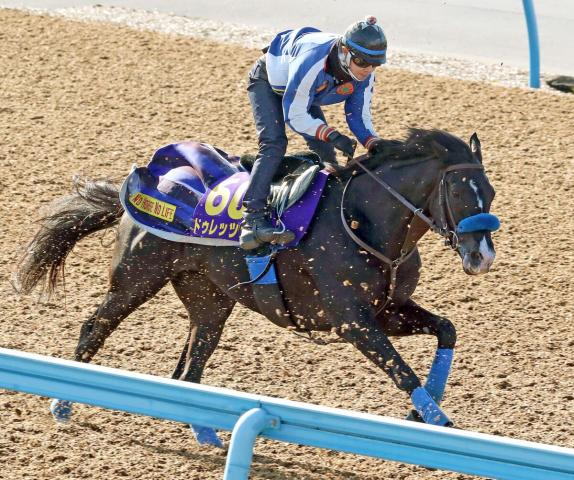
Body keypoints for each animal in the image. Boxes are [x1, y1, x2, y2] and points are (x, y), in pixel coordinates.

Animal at [14, 128, 500, 446]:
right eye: (461, 194)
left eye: (491, 194)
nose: (483, 256)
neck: (364, 222)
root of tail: (145, 182)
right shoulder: (352, 321)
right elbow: (402, 371)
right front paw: (440, 421)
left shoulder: (388, 310)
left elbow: (446, 329)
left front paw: (422, 409)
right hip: (136, 278)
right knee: (95, 327)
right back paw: (62, 405)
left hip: (209, 301)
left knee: (189, 369)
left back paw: (206, 432)